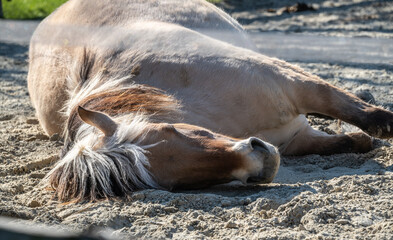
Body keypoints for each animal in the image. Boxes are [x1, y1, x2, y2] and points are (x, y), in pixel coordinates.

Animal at [27, 0, 392, 202]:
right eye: (175, 184)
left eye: (170, 129)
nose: (260, 162)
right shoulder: (296, 138)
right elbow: (350, 140)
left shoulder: (289, 81)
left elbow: (344, 104)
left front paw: (379, 122)